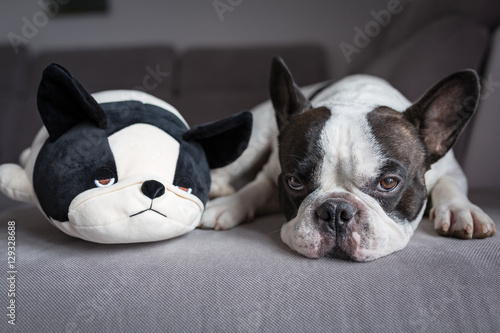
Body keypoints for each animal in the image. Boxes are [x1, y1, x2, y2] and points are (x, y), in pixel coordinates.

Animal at [200, 56, 496, 260]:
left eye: (389, 183)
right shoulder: (272, 172)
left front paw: (461, 211)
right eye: (294, 182)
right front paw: (229, 206)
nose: (335, 210)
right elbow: (256, 188)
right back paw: (218, 189)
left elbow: (450, 185)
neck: (356, 99)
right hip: (255, 135)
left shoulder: (452, 169)